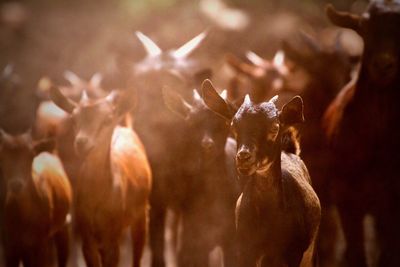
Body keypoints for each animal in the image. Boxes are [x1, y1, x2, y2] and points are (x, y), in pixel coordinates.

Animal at [0, 130, 72, 267]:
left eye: (30, 155)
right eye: (2, 156)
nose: (16, 184)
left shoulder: (41, 241)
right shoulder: (9, 244)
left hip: (63, 224)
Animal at [48, 87, 152, 266]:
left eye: (107, 119)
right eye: (73, 119)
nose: (81, 142)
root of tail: (125, 128)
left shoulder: (112, 237)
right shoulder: (87, 238)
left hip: (142, 214)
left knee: (137, 255)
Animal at [324, 1, 400, 266]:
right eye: (364, 27)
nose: (383, 66)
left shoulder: (392, 207)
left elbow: (388, 256)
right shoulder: (347, 198)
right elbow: (356, 254)